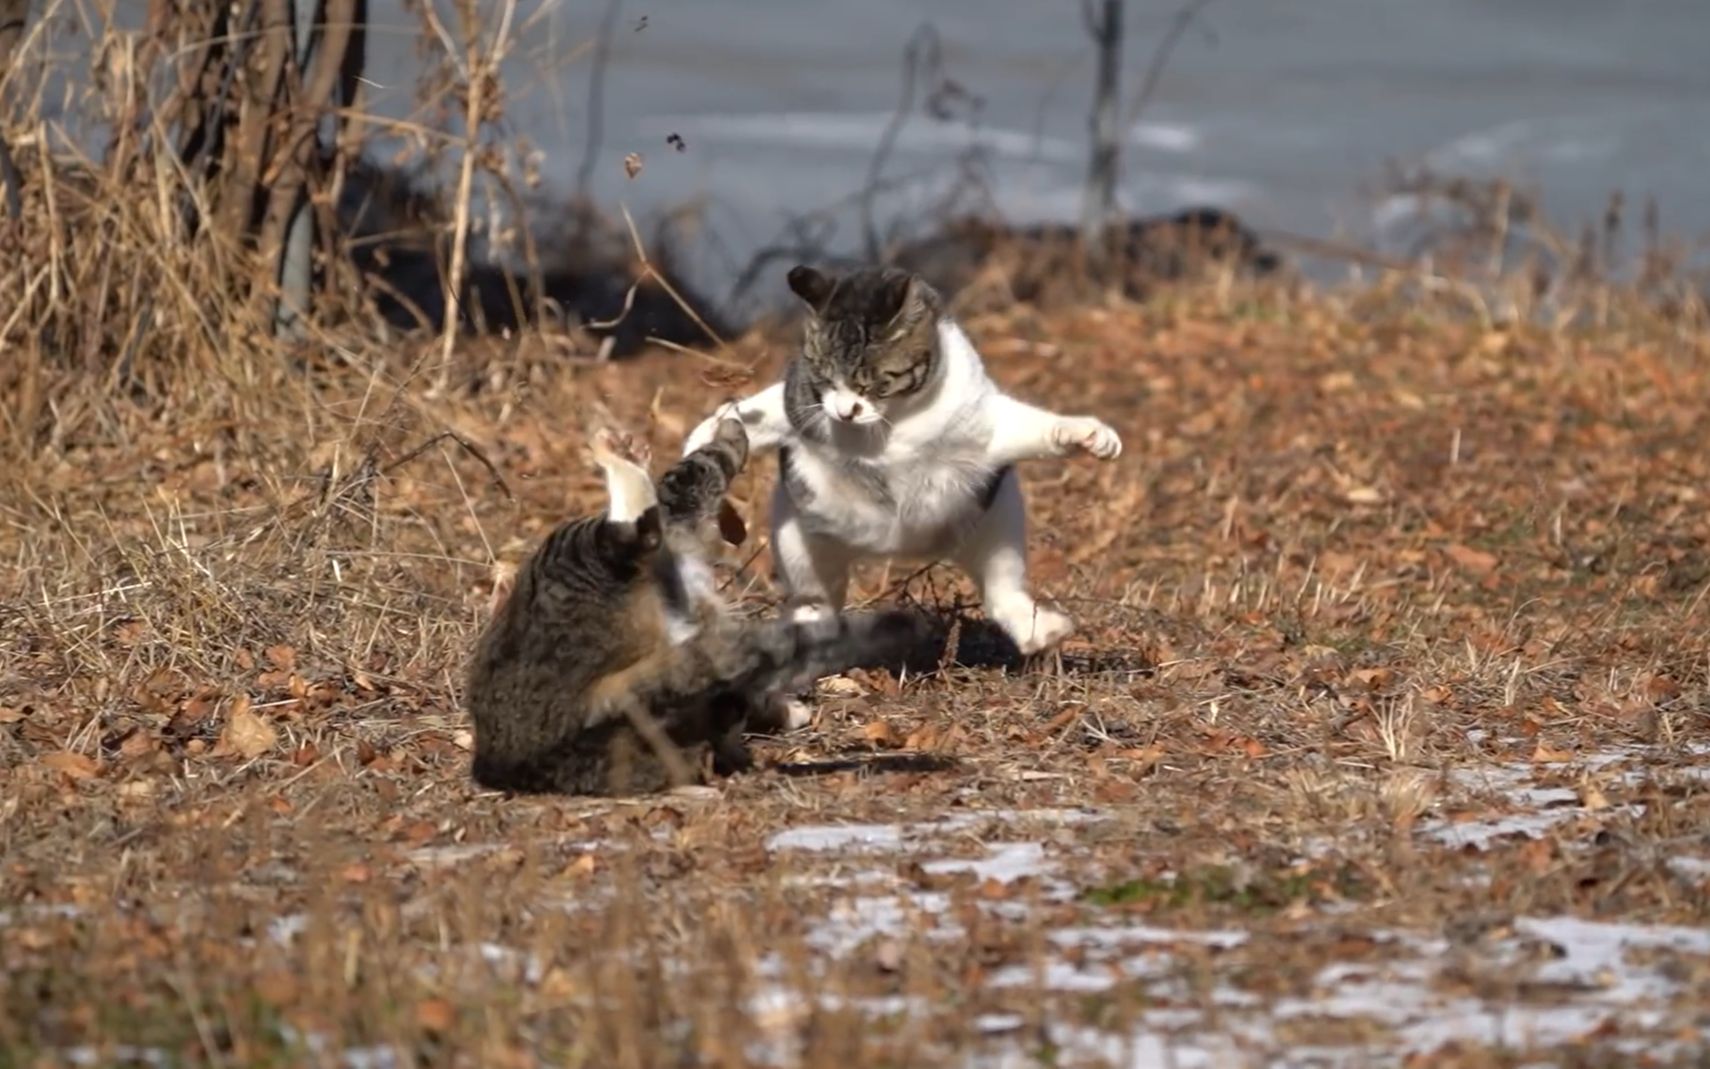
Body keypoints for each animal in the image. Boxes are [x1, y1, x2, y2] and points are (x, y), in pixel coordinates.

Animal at [680, 263, 1121, 653]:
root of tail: (897, 550)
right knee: (814, 599)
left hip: (997, 519)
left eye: (871, 381)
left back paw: (1038, 632)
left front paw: (1090, 435)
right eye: (824, 376)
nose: (845, 412)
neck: (894, 423)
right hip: (799, 536)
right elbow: (749, 416)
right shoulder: (798, 403)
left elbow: (1032, 426)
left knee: (1002, 590)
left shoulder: (984, 425)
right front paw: (704, 438)